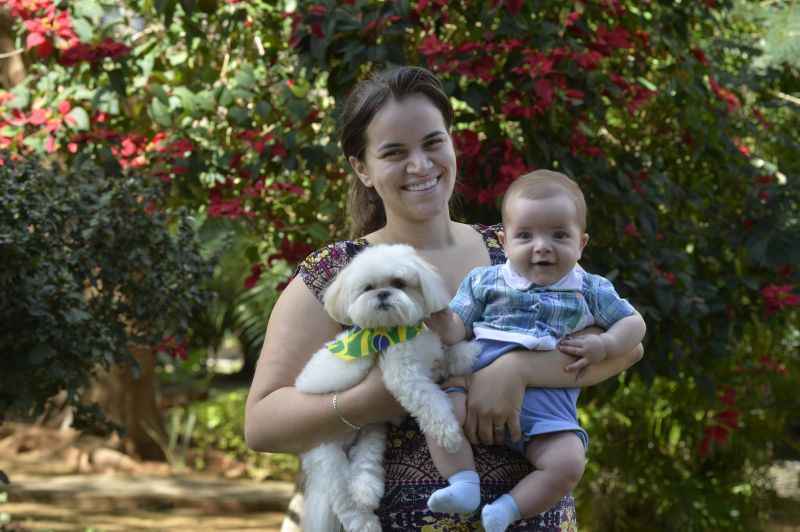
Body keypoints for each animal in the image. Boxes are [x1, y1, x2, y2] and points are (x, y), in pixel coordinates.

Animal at [296, 245, 478, 532]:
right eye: (368, 287)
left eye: (399, 283)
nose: (382, 294)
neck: (398, 330)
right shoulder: (404, 376)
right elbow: (431, 402)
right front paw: (448, 433)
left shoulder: (432, 358)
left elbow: (447, 355)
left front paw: (468, 352)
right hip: (326, 453)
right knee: (343, 497)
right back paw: (365, 522)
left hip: (372, 430)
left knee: (365, 460)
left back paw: (367, 489)